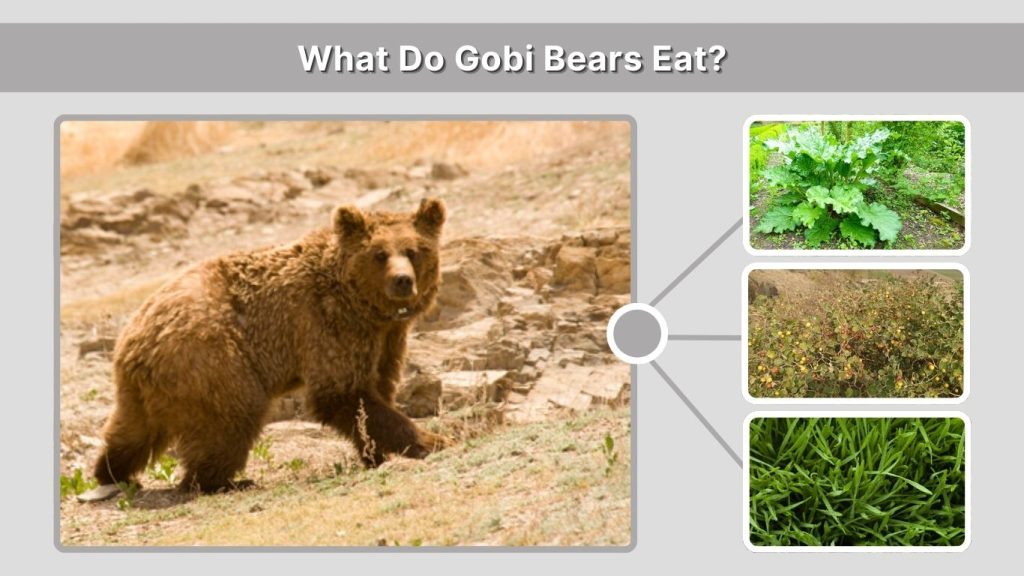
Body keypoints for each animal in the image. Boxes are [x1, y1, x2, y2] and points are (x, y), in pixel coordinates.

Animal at [91, 197, 451, 494]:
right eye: (379, 254)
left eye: (414, 251)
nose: (402, 281)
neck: (363, 306)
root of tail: (133, 343)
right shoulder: (328, 325)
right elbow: (342, 393)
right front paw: (433, 440)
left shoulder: (385, 338)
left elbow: (374, 392)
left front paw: (377, 453)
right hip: (213, 359)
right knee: (231, 418)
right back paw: (221, 481)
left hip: (146, 388)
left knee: (132, 429)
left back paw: (112, 471)